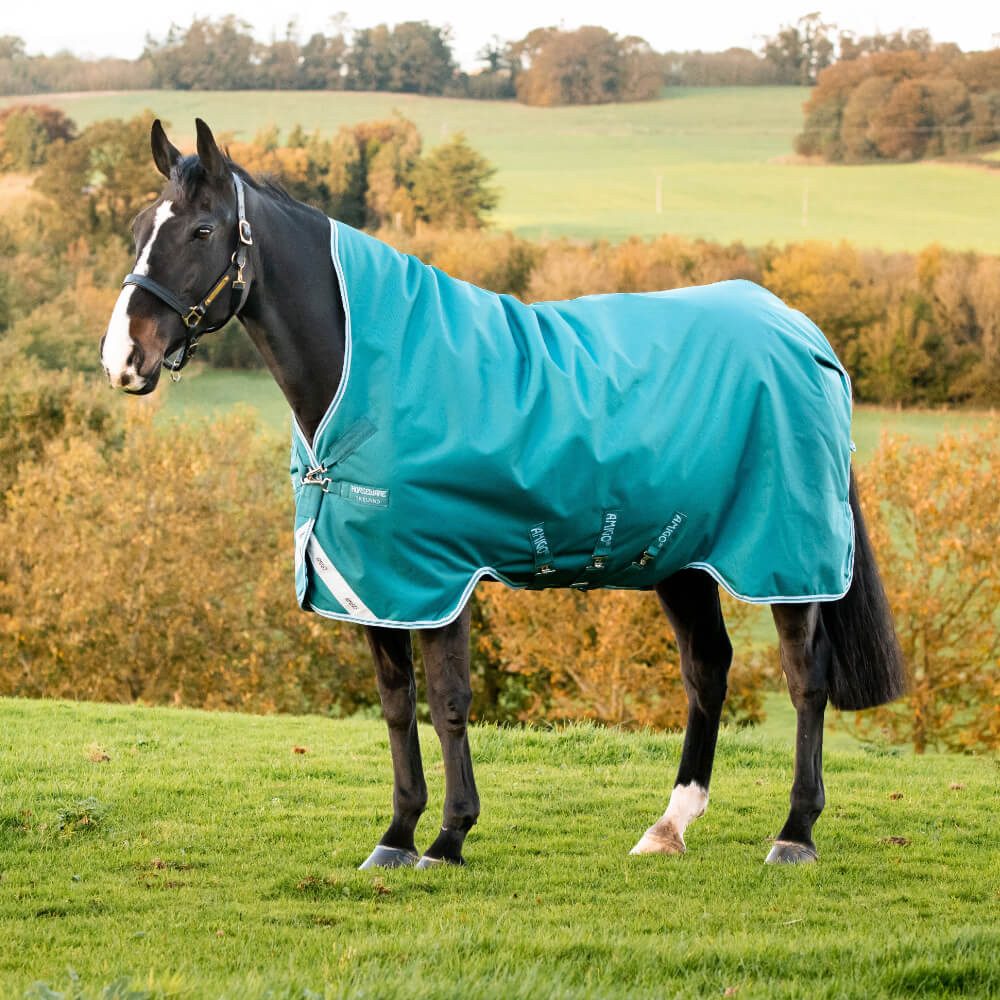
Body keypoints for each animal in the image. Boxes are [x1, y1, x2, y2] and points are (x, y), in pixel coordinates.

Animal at [100, 119, 905, 870]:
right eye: (139, 229)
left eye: (203, 230)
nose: (123, 359)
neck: (371, 377)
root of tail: (802, 332)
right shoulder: (375, 583)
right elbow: (396, 705)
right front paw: (395, 836)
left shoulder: (439, 577)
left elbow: (450, 703)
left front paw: (448, 838)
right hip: (679, 556)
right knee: (707, 668)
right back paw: (668, 827)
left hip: (785, 557)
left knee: (807, 679)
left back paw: (795, 831)